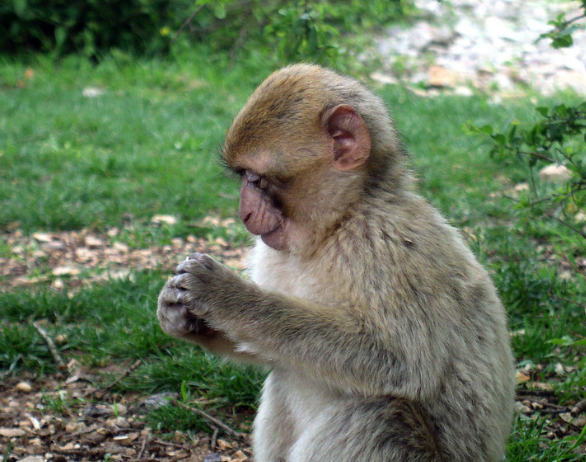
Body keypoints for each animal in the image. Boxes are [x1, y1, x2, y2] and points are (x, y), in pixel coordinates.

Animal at [157, 64, 512, 462]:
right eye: (243, 177)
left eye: (256, 179)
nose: (244, 213)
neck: (335, 226)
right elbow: (267, 347)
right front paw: (177, 312)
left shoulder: (391, 247)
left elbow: (403, 363)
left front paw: (226, 295)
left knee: (380, 415)